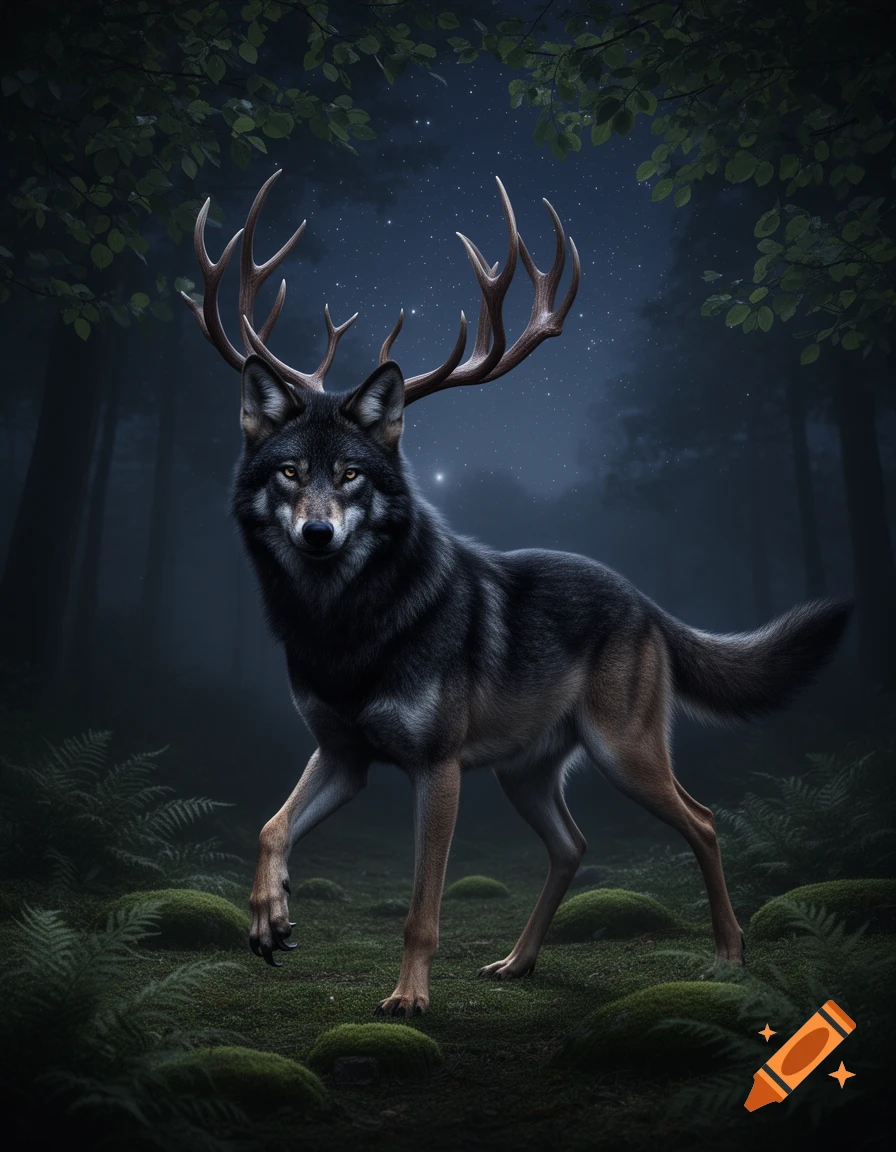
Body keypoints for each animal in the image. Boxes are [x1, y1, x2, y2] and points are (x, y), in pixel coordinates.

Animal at [184, 172, 850, 1016]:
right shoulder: (342, 752)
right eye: (290, 472)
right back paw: (517, 962)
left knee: (701, 822)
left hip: (623, 753)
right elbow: (270, 827)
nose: (317, 535)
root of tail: (643, 601)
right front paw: (270, 922)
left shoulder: (436, 769)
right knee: (574, 844)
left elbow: (421, 906)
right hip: (524, 773)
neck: (348, 631)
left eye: (352, 475)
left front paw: (408, 1000)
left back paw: (730, 954)